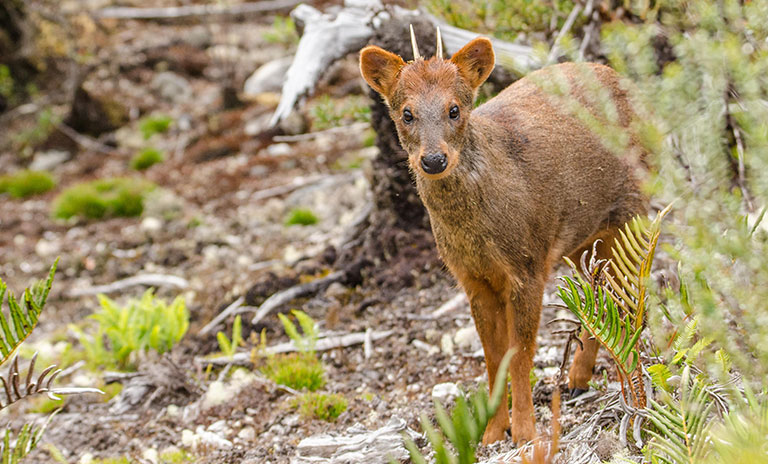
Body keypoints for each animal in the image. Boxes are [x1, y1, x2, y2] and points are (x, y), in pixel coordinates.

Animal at [360, 28, 648, 442]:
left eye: (454, 109)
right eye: (406, 113)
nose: (433, 160)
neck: (476, 232)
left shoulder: (527, 266)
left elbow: (521, 353)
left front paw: (526, 431)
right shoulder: (472, 279)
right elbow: (493, 358)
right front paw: (493, 432)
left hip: (631, 214)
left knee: (630, 298)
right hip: (583, 240)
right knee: (601, 296)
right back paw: (578, 379)